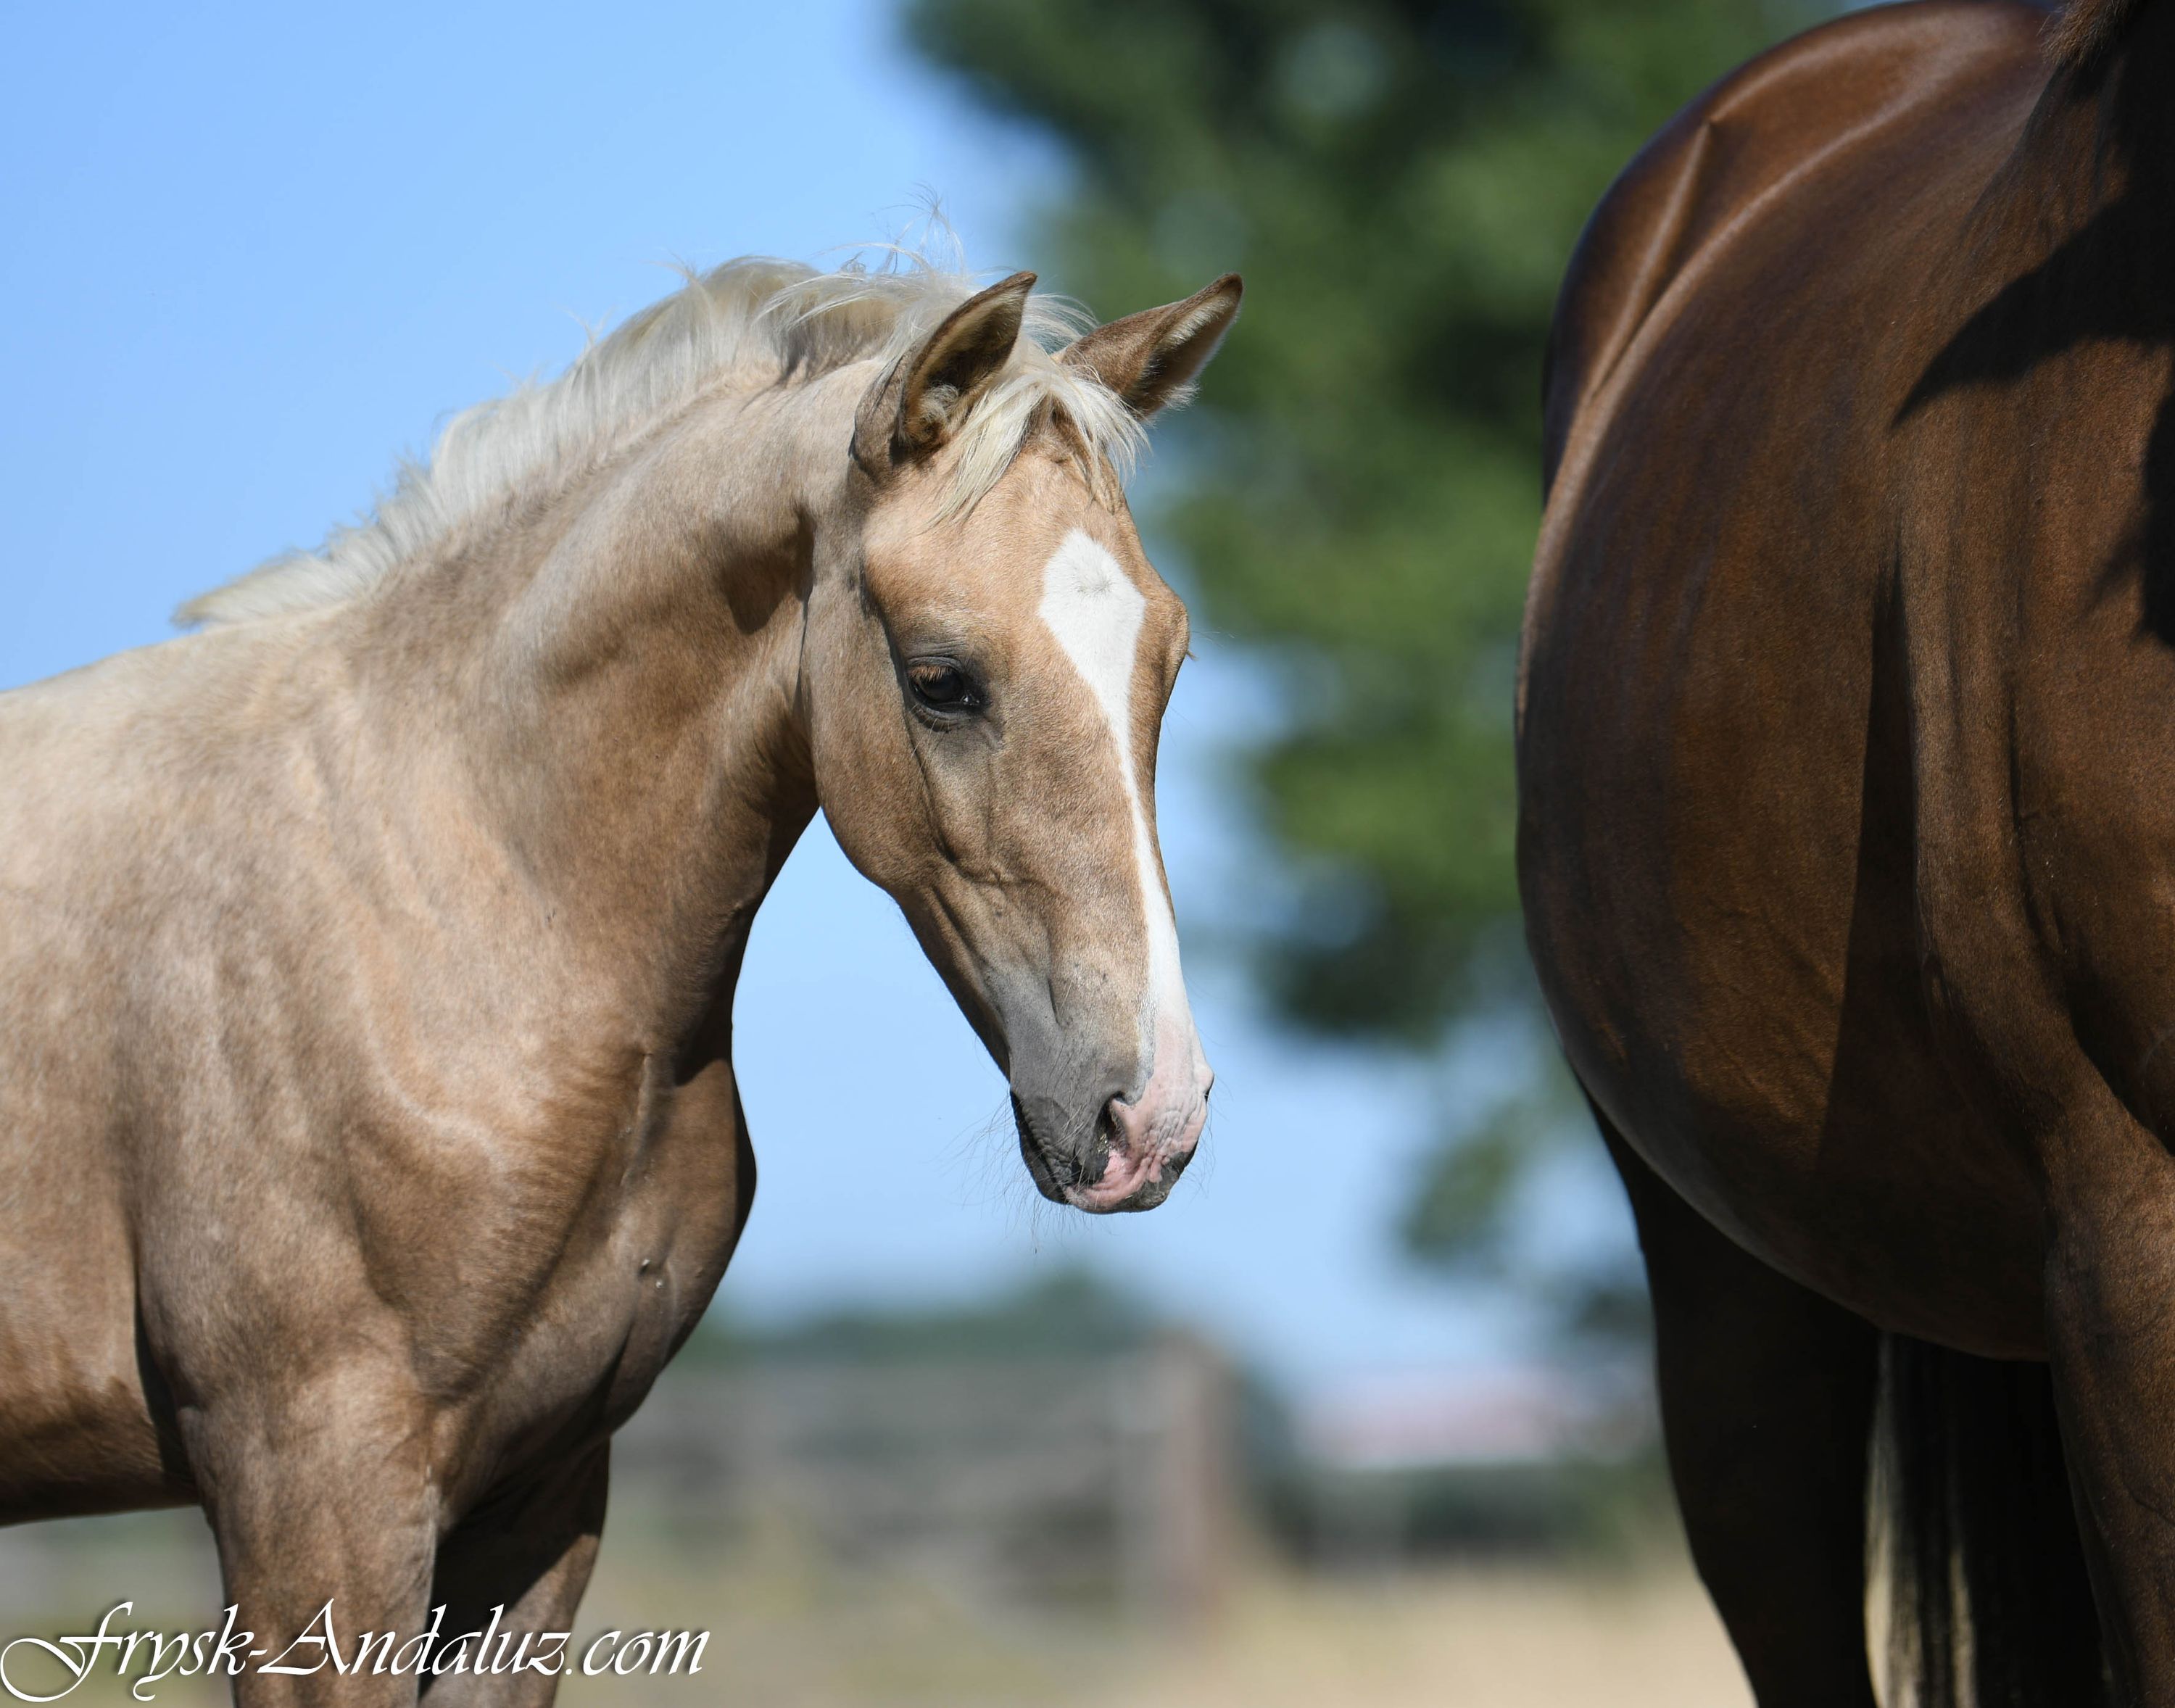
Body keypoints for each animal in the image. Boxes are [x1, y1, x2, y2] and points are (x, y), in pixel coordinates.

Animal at [0, 253, 1239, 1702]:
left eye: (1170, 661)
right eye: (943, 679)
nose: (1150, 1114)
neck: (462, 883)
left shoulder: (541, 1496)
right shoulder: (309, 1493)